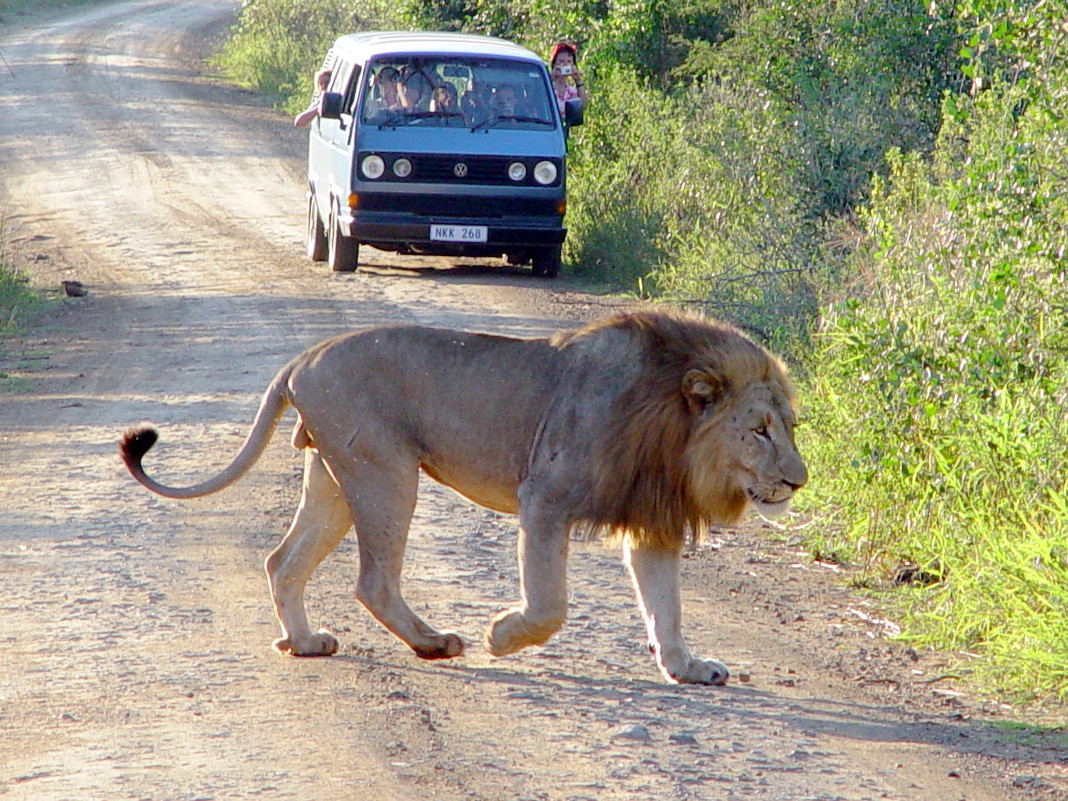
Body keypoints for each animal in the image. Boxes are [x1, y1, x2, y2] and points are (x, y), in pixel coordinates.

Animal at [121, 309, 803, 687]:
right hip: (386, 472)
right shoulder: (544, 497)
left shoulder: (651, 520)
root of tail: (299, 360)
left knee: (282, 562)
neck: (674, 425)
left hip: (334, 477)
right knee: (372, 580)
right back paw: (433, 643)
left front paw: (687, 667)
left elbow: (667, 609)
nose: (798, 480)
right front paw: (502, 635)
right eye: (759, 430)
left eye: (790, 427)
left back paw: (305, 642)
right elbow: (550, 604)